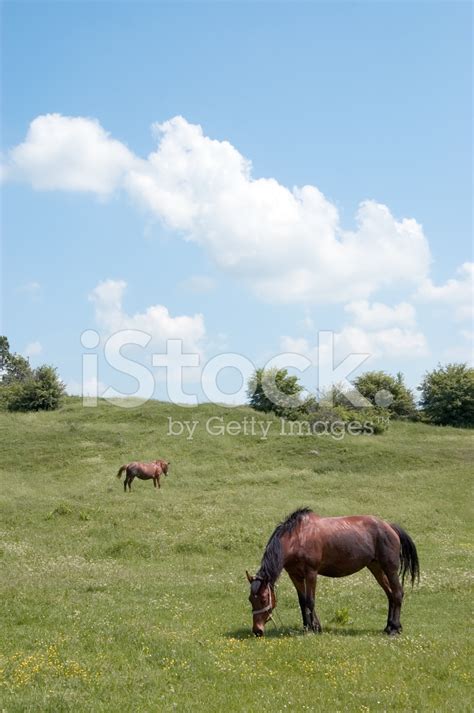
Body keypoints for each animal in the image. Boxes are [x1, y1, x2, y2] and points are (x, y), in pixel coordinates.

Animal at [246, 504, 420, 636]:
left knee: (397, 593)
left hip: (390, 569)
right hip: (376, 568)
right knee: (390, 594)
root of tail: (390, 526)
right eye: (250, 599)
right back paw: (388, 626)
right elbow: (302, 601)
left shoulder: (311, 573)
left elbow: (310, 601)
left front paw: (314, 628)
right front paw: (307, 627)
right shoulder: (295, 575)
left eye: (263, 599)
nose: (257, 631)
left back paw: (395, 628)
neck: (297, 538)